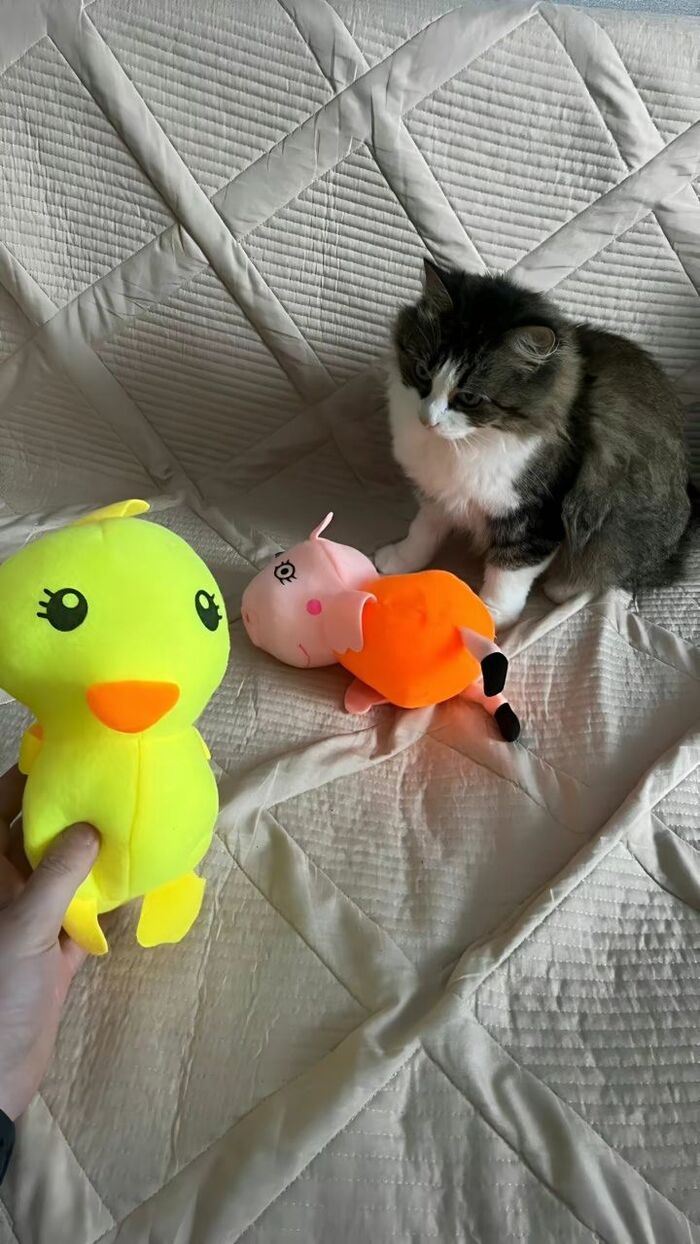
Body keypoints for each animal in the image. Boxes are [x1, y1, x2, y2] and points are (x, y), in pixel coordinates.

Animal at [376, 259, 691, 630]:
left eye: (469, 398)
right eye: (423, 372)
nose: (429, 419)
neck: (465, 444)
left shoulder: (535, 515)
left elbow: (508, 573)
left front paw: (489, 619)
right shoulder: (440, 494)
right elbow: (423, 533)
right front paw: (398, 562)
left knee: (609, 570)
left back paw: (560, 587)